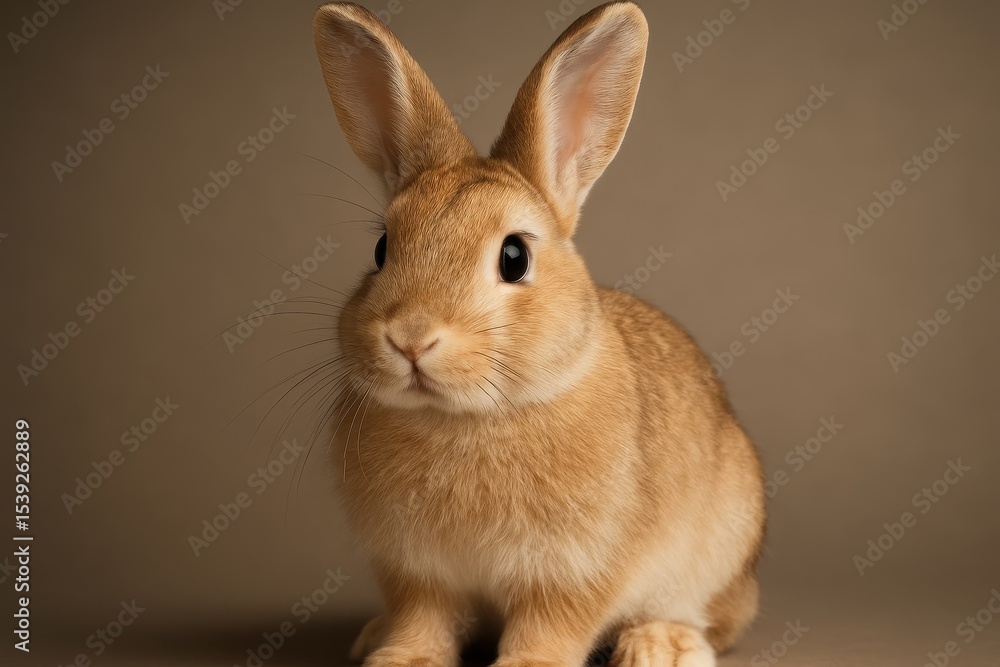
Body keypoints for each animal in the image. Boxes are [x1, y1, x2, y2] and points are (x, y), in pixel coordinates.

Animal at [311, 2, 766, 666]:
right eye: (381, 248)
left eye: (514, 257)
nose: (411, 339)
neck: (467, 418)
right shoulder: (417, 574)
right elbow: (423, 618)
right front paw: (402, 658)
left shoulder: (574, 570)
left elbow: (551, 623)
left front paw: (527, 663)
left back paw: (662, 645)